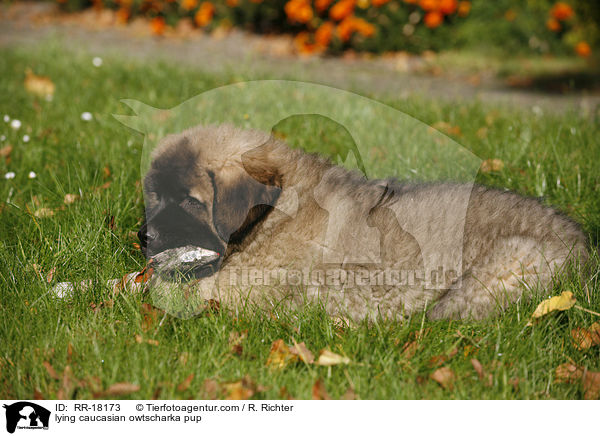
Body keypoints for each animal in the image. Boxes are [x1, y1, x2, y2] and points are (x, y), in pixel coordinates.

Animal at [138, 123, 588, 320]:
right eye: (155, 195)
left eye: (191, 202)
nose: (143, 236)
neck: (274, 215)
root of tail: (584, 244)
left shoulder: (239, 291)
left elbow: (164, 290)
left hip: (498, 274)